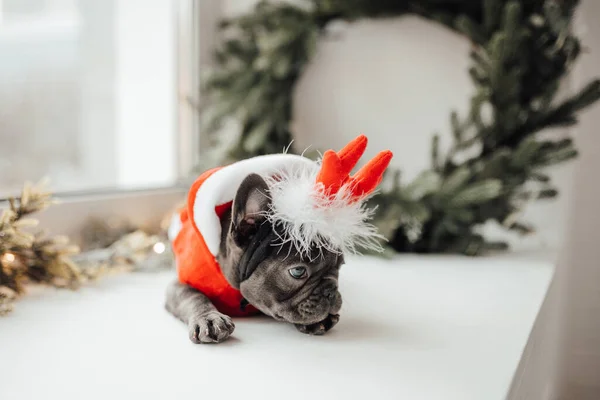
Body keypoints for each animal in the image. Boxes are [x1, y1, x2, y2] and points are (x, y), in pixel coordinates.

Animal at [165, 173, 342, 342]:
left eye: (340, 266)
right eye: (298, 271)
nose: (331, 291)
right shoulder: (179, 285)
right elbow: (193, 296)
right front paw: (208, 318)